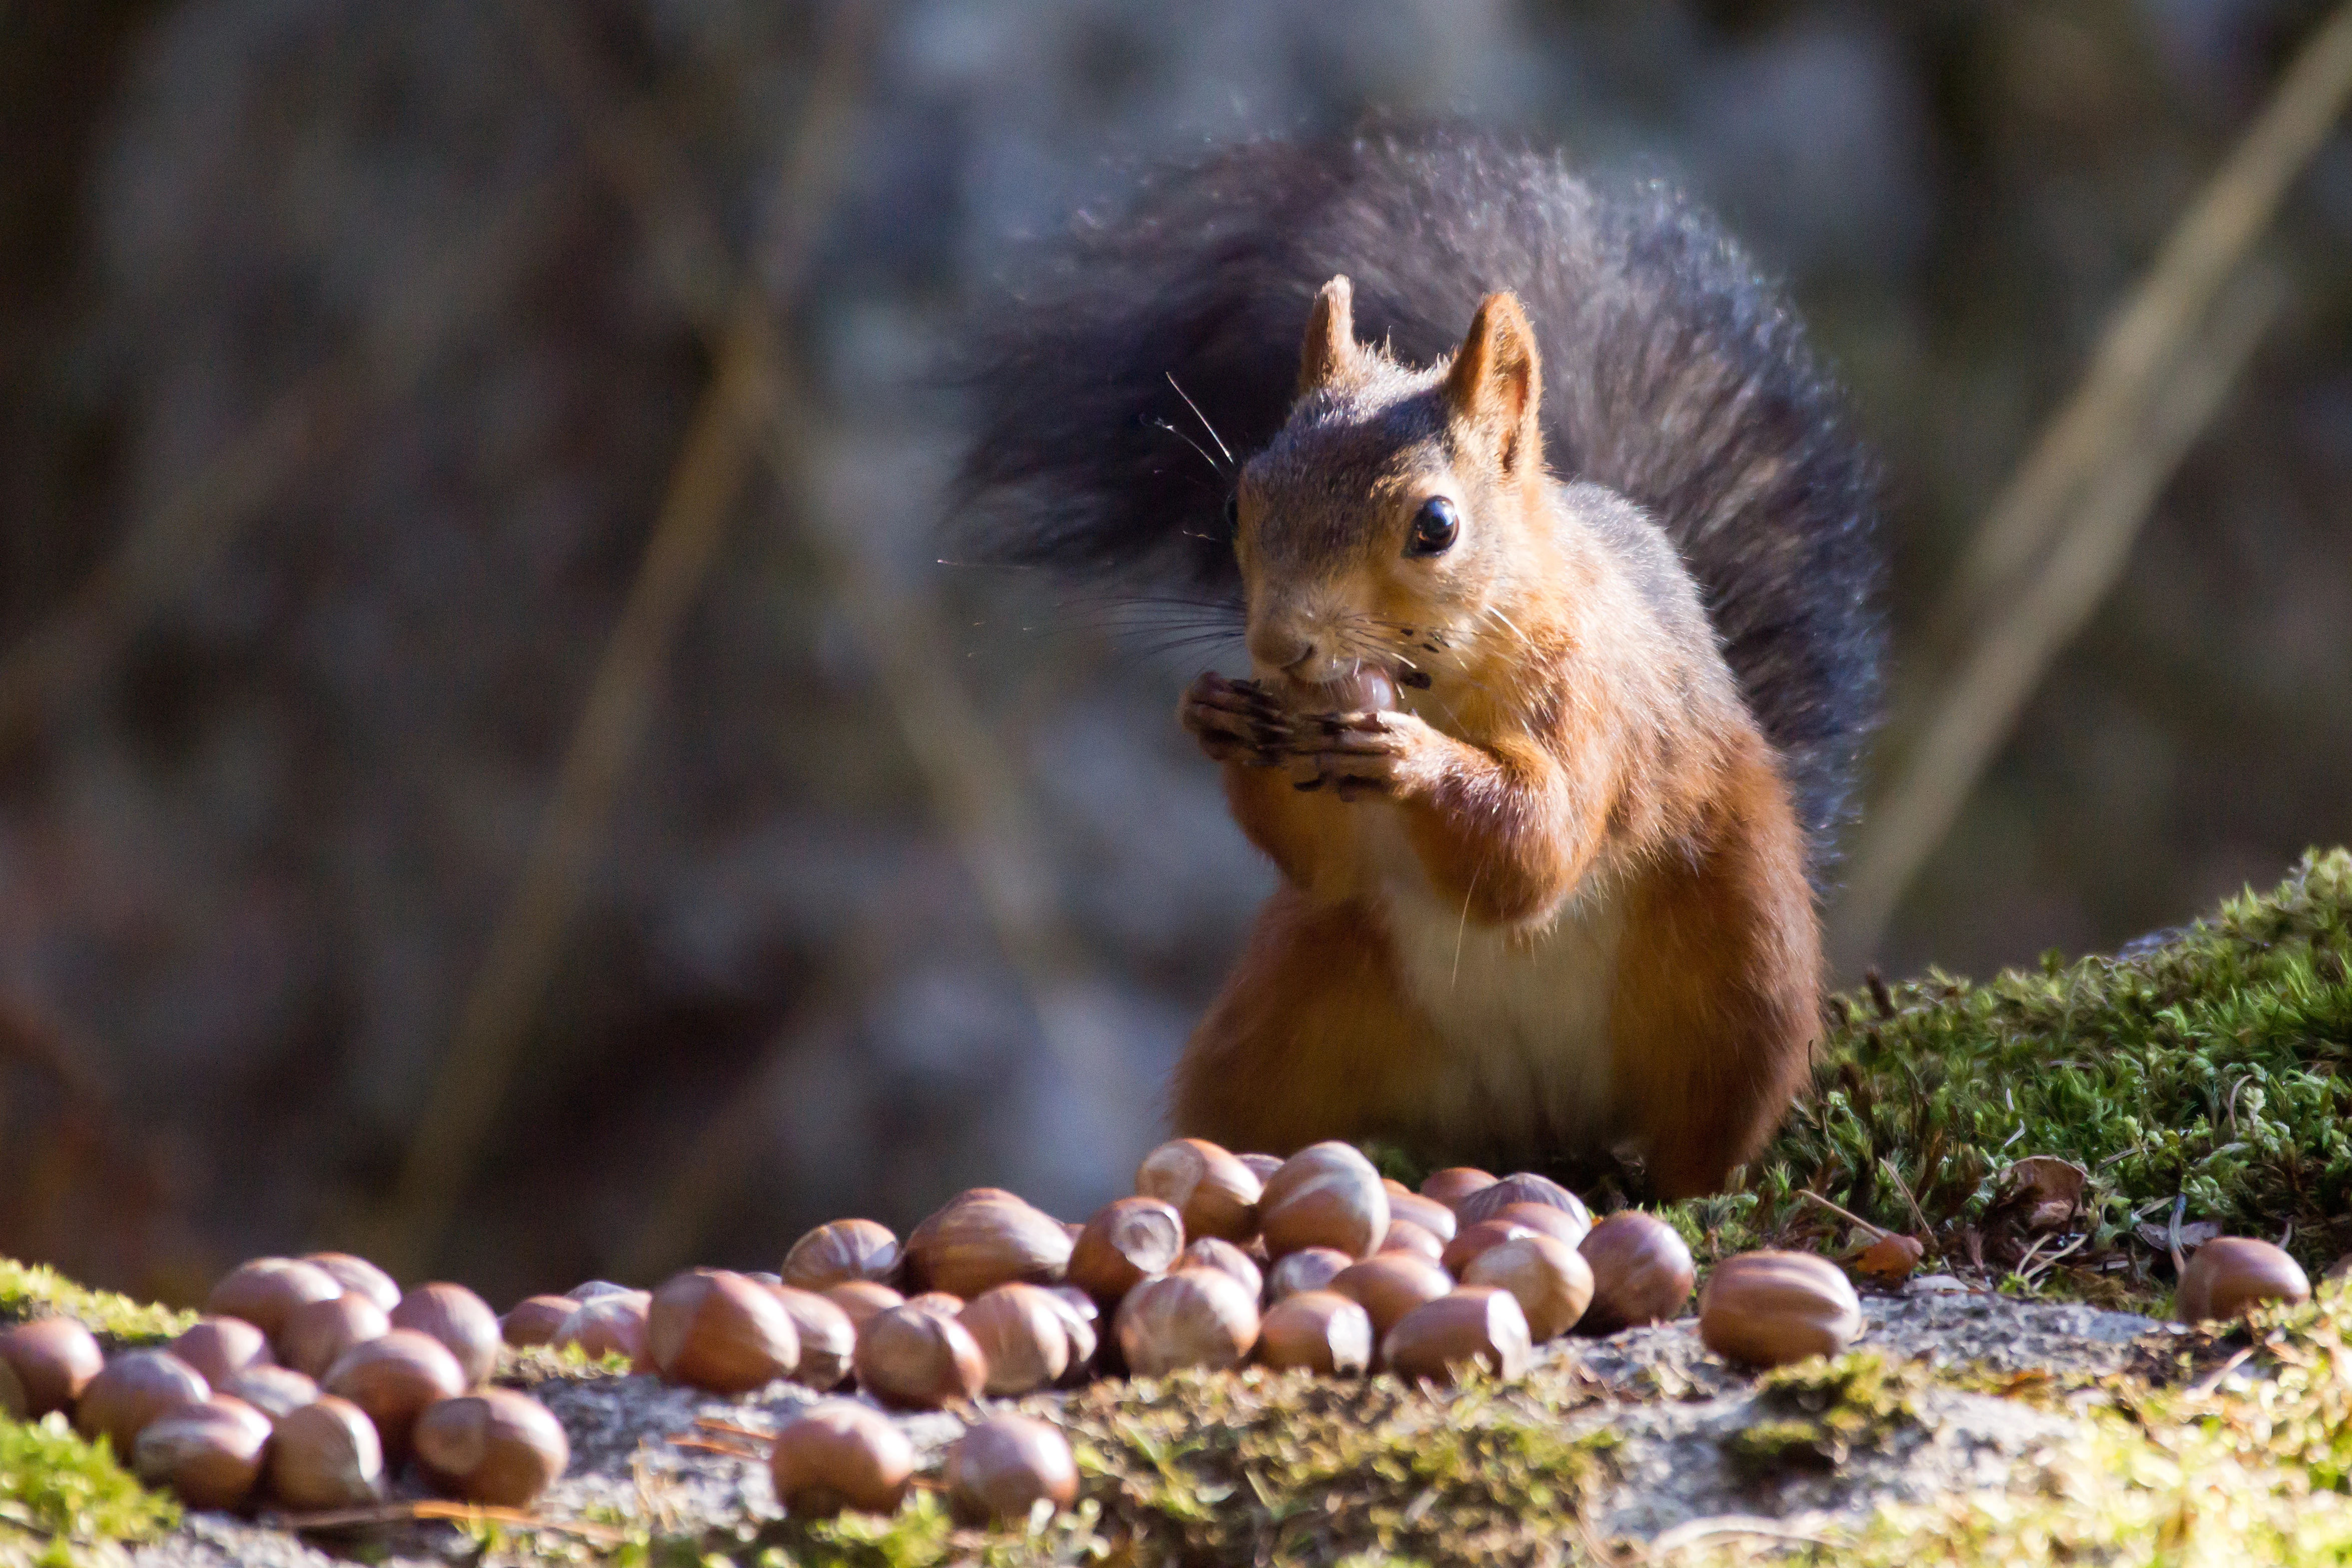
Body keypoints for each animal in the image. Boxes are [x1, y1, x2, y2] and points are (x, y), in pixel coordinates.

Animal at [956, 125, 1882, 1198]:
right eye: (1237, 502)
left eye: (1435, 526)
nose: (1279, 647)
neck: (1434, 681)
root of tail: (1530, 1121)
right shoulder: (1326, 863)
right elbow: (1314, 855)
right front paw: (1220, 718)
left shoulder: (1590, 703)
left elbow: (1538, 844)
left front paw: (1411, 759)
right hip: (1291, 1009)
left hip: (1742, 976)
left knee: (1711, 1131)